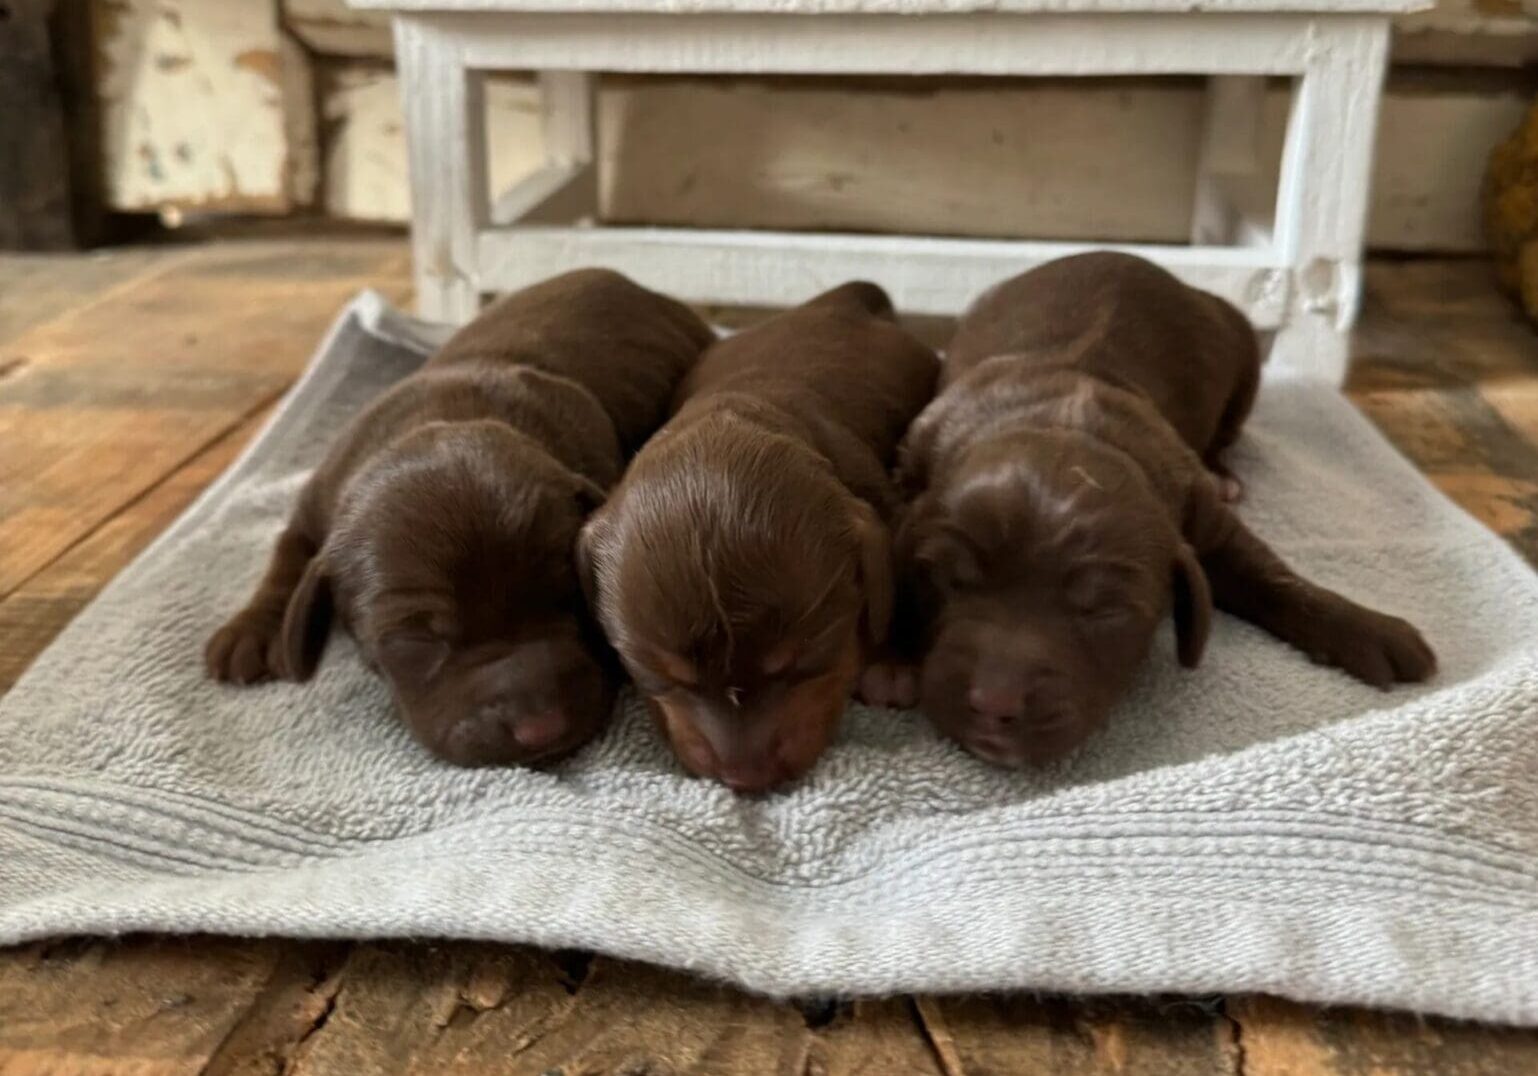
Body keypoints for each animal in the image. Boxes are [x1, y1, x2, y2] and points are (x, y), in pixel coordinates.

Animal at [204, 273, 713, 768]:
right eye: (415, 638)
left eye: (574, 600)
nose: (541, 729)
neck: (447, 414)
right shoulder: (317, 496)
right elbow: (287, 552)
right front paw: (250, 631)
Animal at [578, 281, 935, 793]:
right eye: (656, 675)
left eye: (806, 658)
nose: (745, 777)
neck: (741, 410)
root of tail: (838, 299)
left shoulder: (885, 508)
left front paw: (893, 665)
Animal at [873, 253, 1433, 768]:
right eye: (948, 581)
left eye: (1104, 609)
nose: (994, 705)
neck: (1063, 421)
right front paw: (892, 660)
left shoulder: (1202, 515)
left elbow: (1269, 574)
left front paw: (1368, 628)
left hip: (1243, 360)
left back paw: (1225, 473)